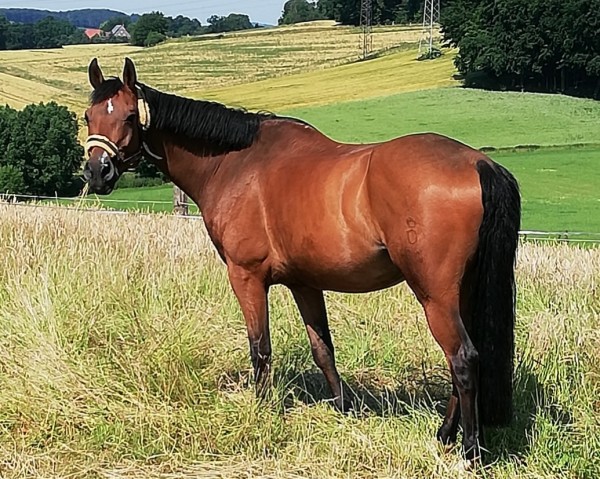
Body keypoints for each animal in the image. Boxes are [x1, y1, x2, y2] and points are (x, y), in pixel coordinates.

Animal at [82, 58, 516, 460]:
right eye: (88, 116)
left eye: (129, 115)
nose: (97, 172)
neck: (235, 163)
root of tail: (479, 163)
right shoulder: (304, 283)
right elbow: (323, 349)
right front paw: (342, 410)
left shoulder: (246, 277)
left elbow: (260, 348)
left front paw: (261, 411)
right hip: (461, 293)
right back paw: (445, 434)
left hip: (435, 296)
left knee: (463, 359)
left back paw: (469, 449)